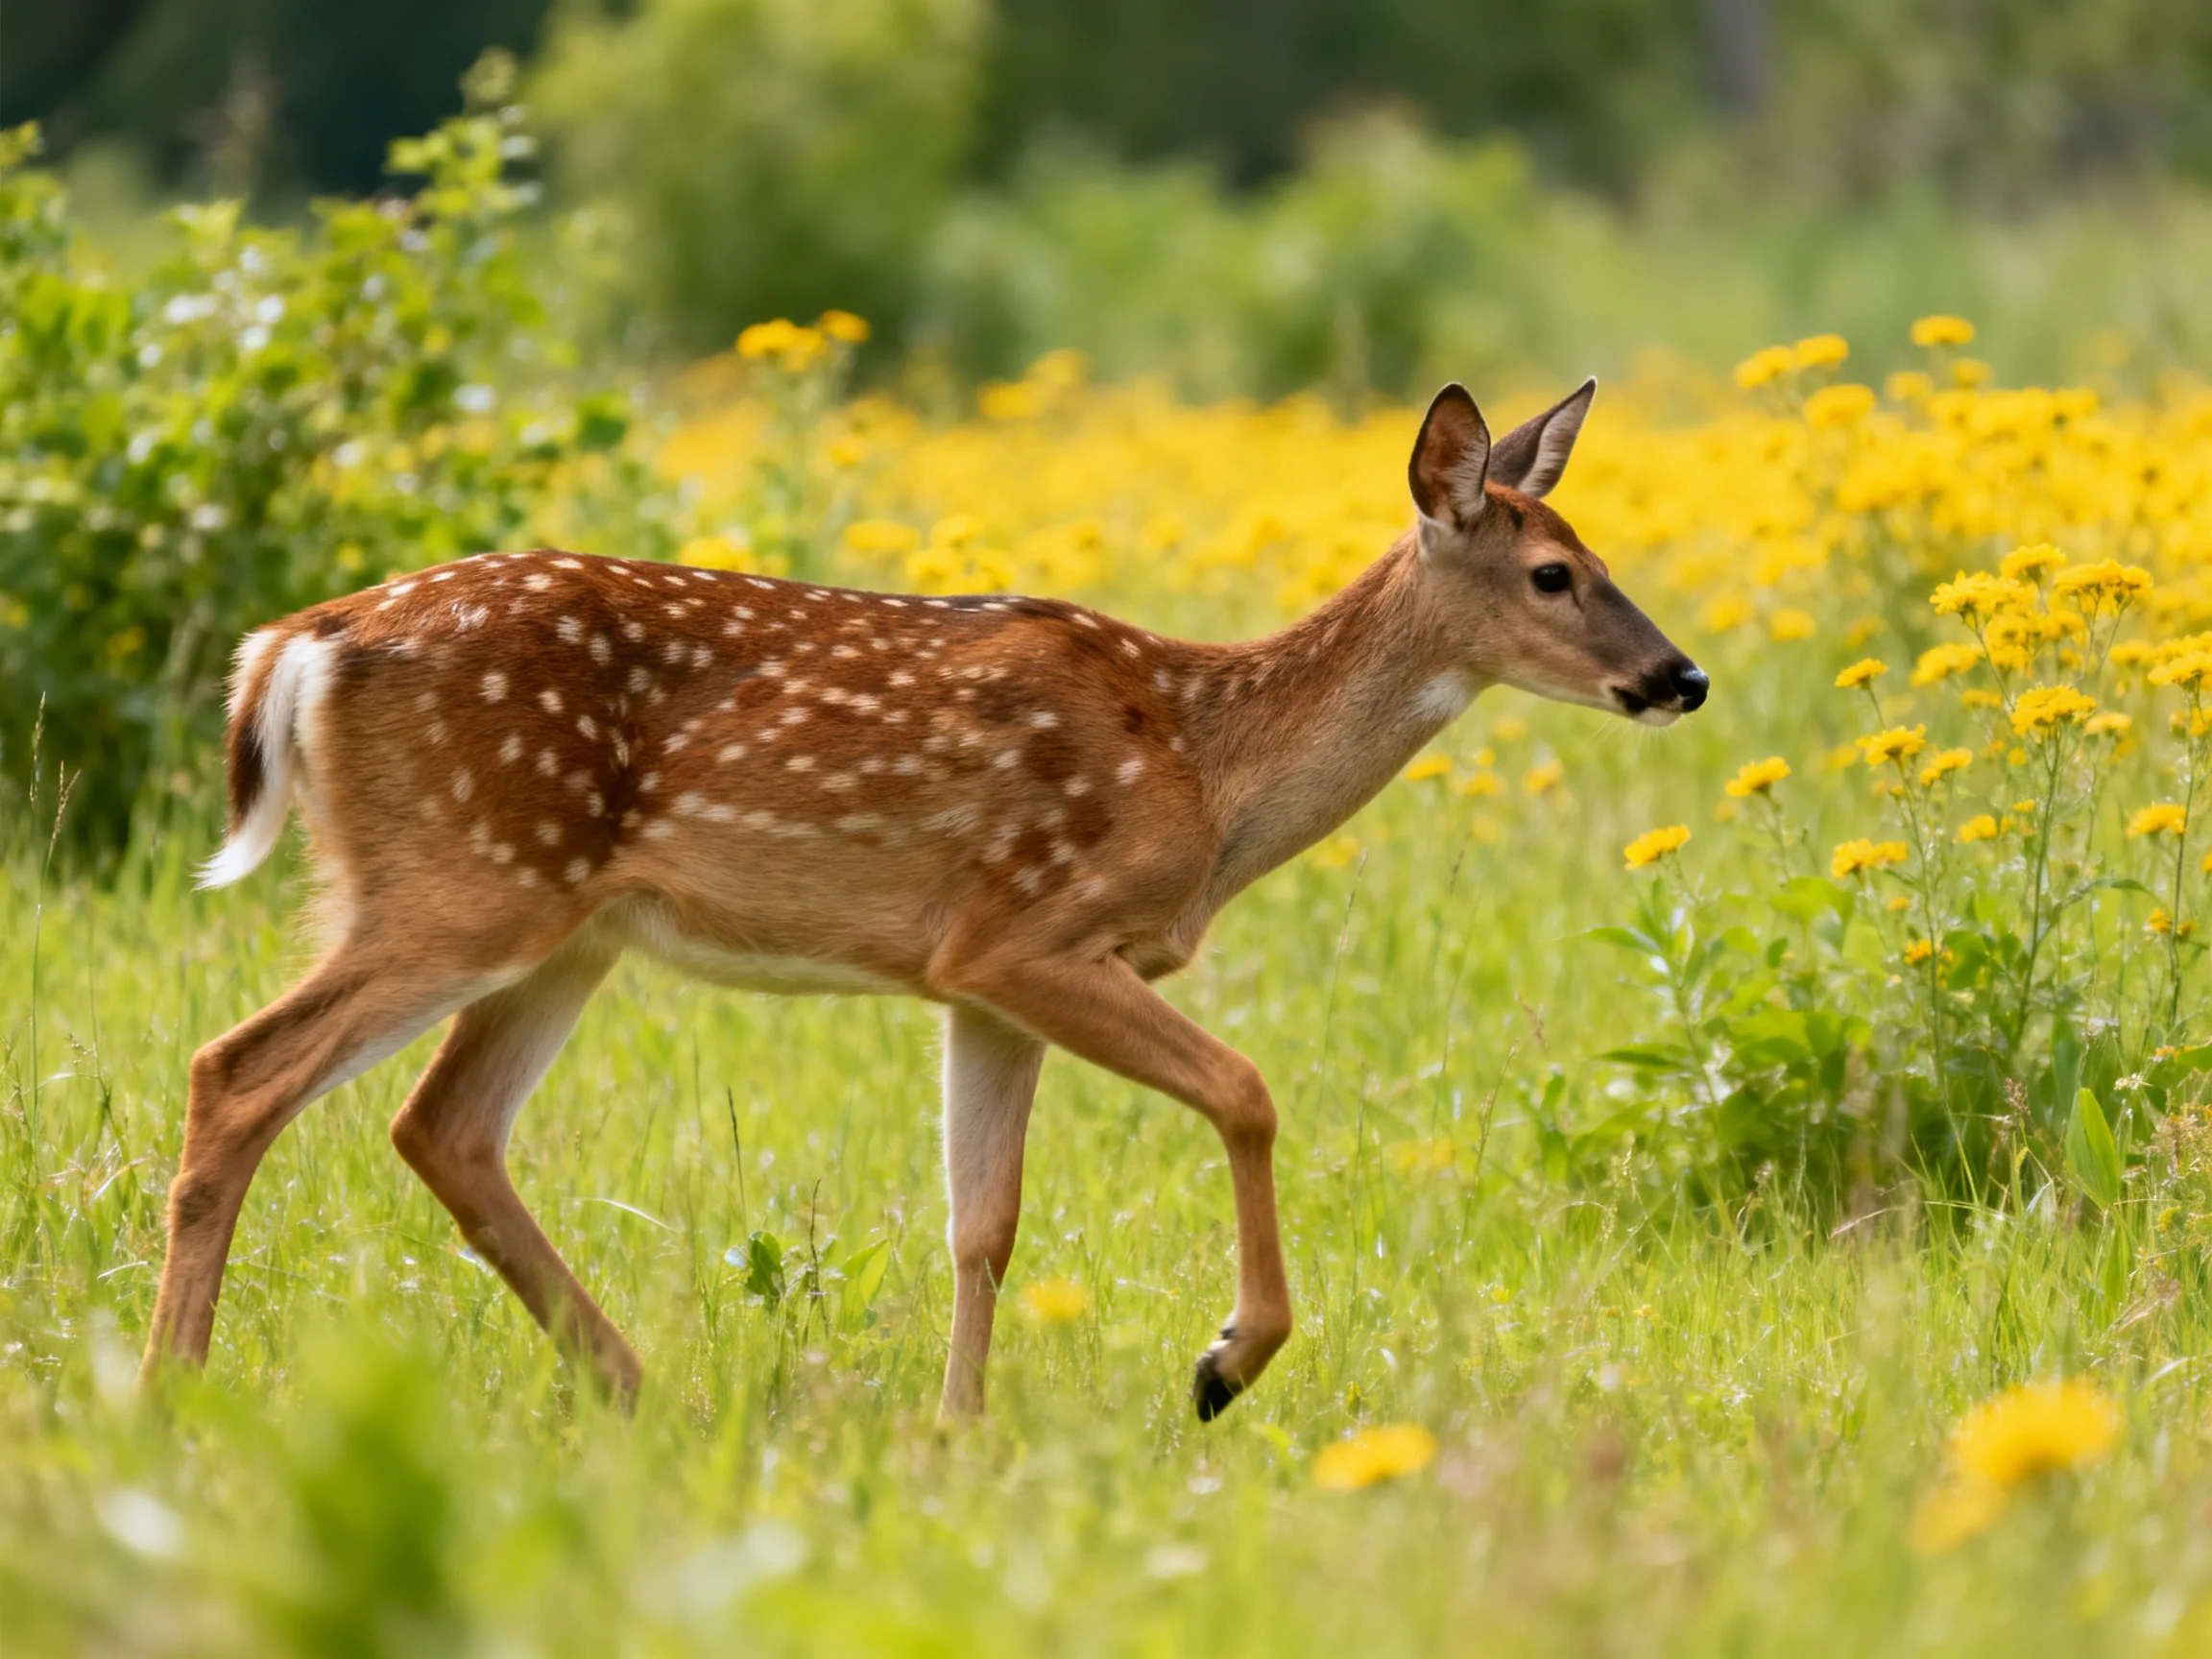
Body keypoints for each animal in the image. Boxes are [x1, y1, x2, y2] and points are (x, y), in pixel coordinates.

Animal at [140, 379, 1707, 1420]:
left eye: (1607, 558)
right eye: (1553, 573)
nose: (1680, 676)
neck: (1206, 770)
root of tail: (299, 643)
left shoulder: (976, 981)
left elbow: (982, 1219)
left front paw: (956, 1433)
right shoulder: (1028, 931)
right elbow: (1248, 1090)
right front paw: (1224, 1361)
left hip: (562, 930)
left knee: (443, 1129)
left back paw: (642, 1388)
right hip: (464, 882)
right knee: (240, 1069)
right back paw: (171, 1390)